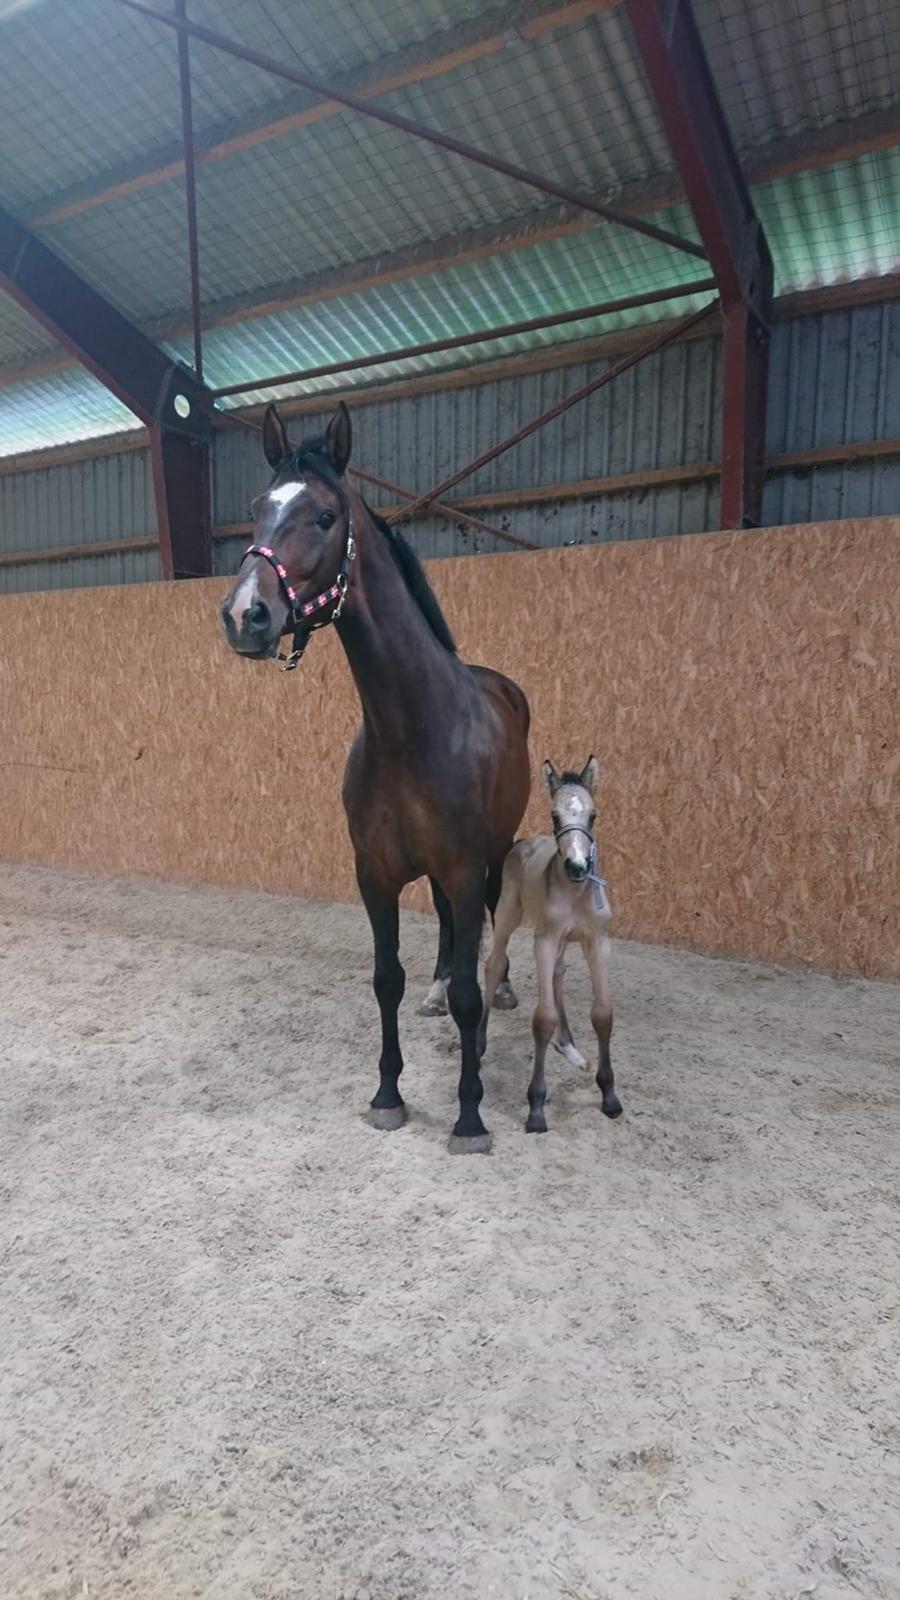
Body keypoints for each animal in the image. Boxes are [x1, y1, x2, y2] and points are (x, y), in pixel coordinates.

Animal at [219, 403, 528, 1152]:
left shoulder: (463, 864)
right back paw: (438, 994)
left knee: (489, 928)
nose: (245, 615)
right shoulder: (376, 874)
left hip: (495, 852)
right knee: (447, 930)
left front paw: (469, 1114)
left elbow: (471, 988)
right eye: (257, 509)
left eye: (325, 516)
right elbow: (387, 979)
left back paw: (498, 994)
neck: (411, 730)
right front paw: (388, 1093)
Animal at [480, 755, 621, 1132]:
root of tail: (524, 841)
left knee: (558, 973)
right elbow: (543, 1018)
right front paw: (536, 1107)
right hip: (509, 914)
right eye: (555, 816)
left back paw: (569, 1047)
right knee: (494, 964)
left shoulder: (597, 941)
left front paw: (609, 1094)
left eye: (593, 815)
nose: (577, 866)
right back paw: (478, 1043)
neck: (575, 892)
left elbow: (603, 1013)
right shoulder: (543, 940)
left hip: (563, 939)